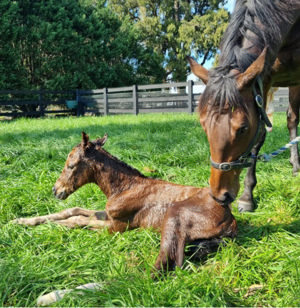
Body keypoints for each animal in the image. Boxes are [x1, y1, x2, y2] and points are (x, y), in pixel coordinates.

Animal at [14, 132, 237, 272]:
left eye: (71, 165)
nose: (56, 190)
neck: (125, 188)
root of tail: (231, 218)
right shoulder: (107, 215)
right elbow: (73, 210)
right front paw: (22, 221)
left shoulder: (116, 226)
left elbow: (76, 220)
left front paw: (51, 229)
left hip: (175, 214)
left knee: (172, 258)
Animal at [189, 0, 298, 212]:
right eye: (204, 125)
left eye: (243, 128)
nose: (220, 195)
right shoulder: (264, 77)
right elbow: (260, 135)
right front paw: (248, 196)